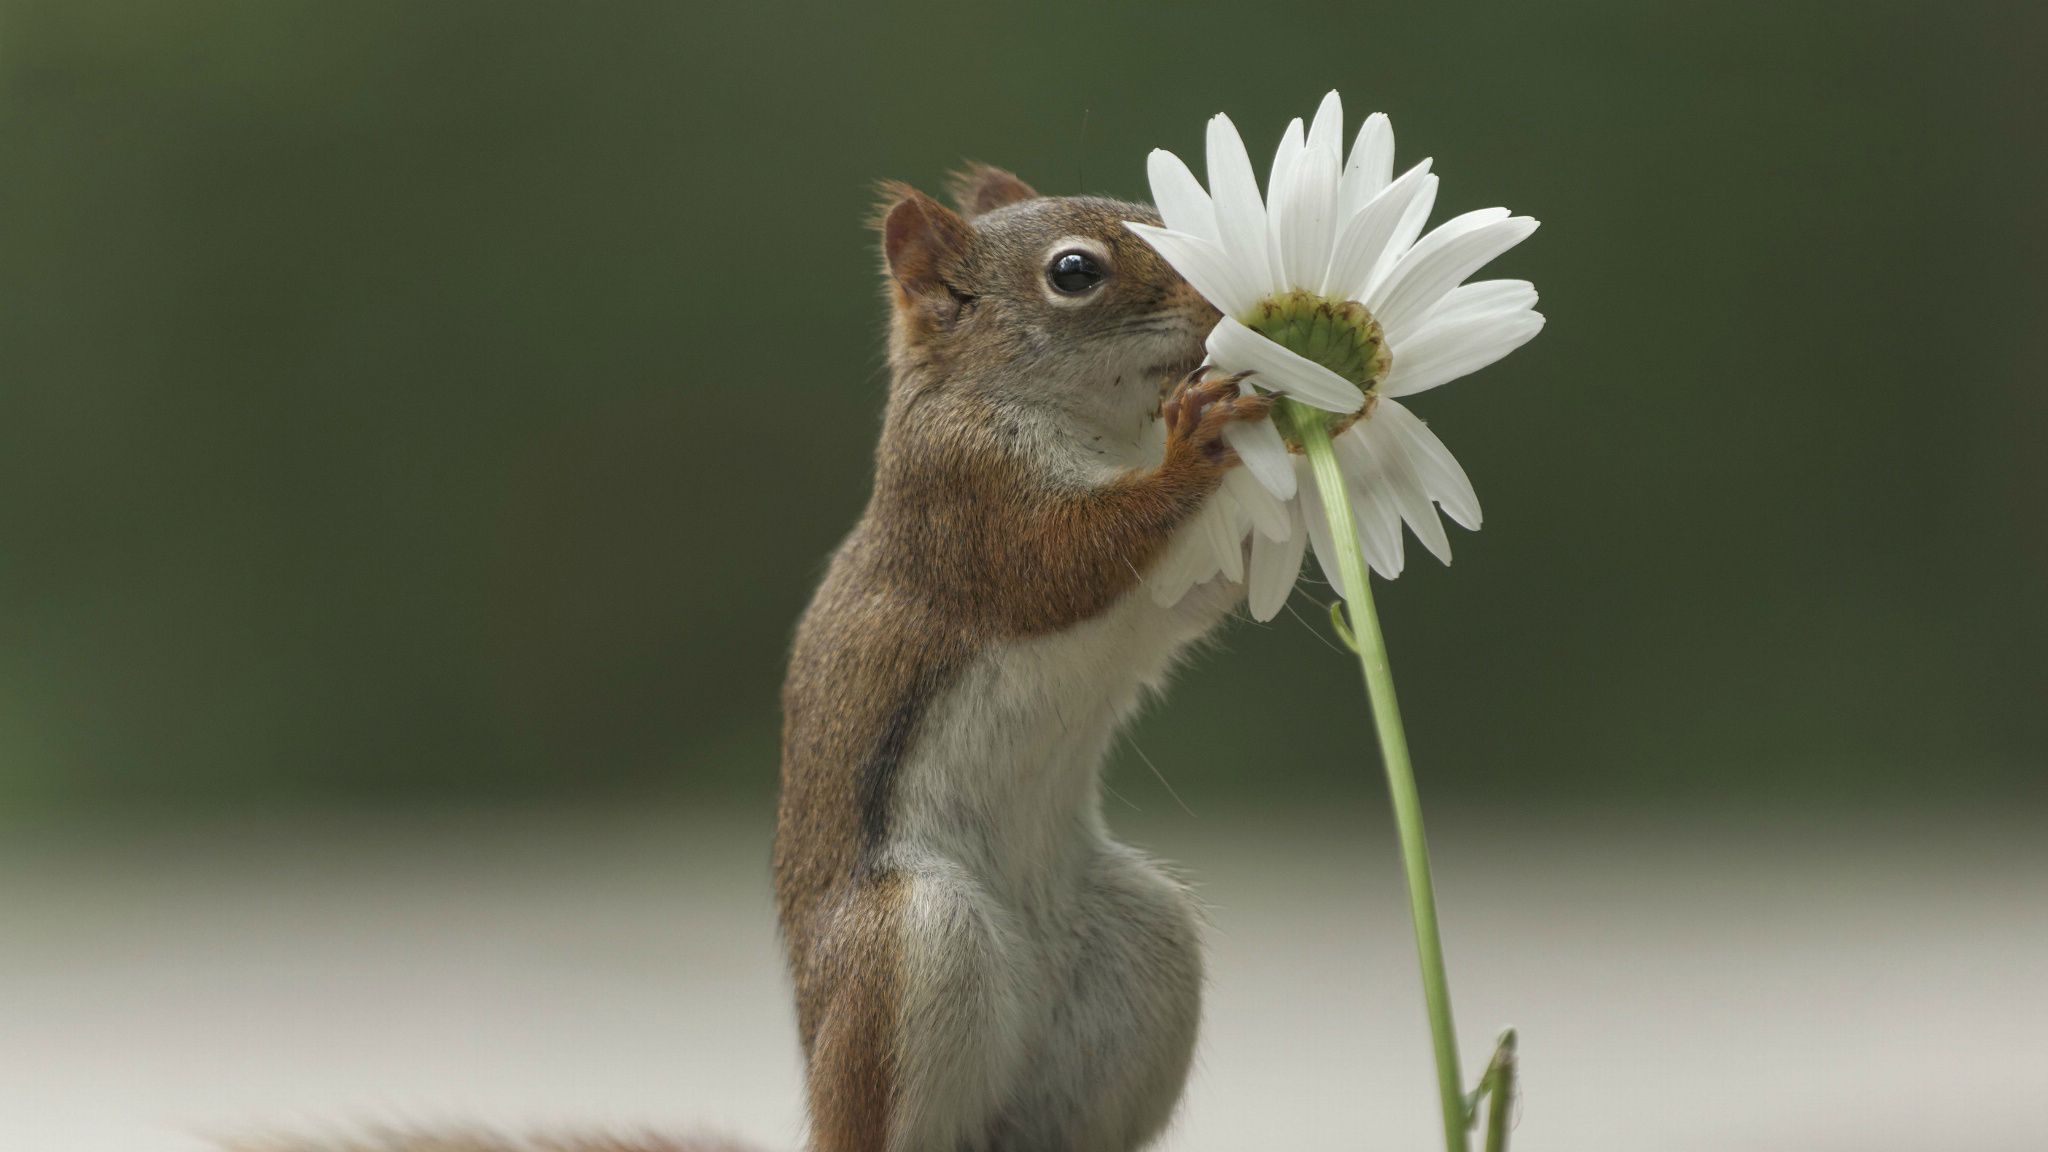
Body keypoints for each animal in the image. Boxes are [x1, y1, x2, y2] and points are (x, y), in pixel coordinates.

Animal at [232, 163, 1269, 1147]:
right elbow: (1067, 561)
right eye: (1075, 272)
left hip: (1139, 950)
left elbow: (1198, 591)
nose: (1221, 310)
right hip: (910, 948)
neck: (1090, 428)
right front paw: (1194, 447)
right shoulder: (967, 507)